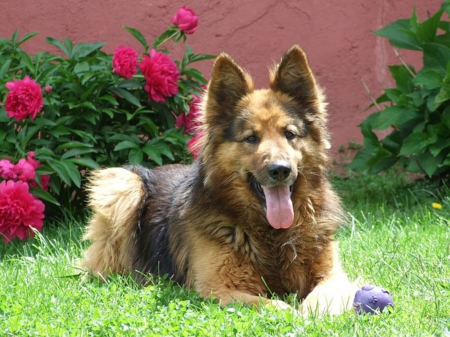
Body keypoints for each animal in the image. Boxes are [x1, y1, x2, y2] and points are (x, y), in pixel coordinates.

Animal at [80, 44, 356, 316]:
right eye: (251, 138)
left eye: (290, 134)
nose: (280, 170)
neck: (271, 235)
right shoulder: (219, 287)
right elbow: (277, 306)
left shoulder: (334, 276)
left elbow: (321, 298)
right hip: (125, 183)